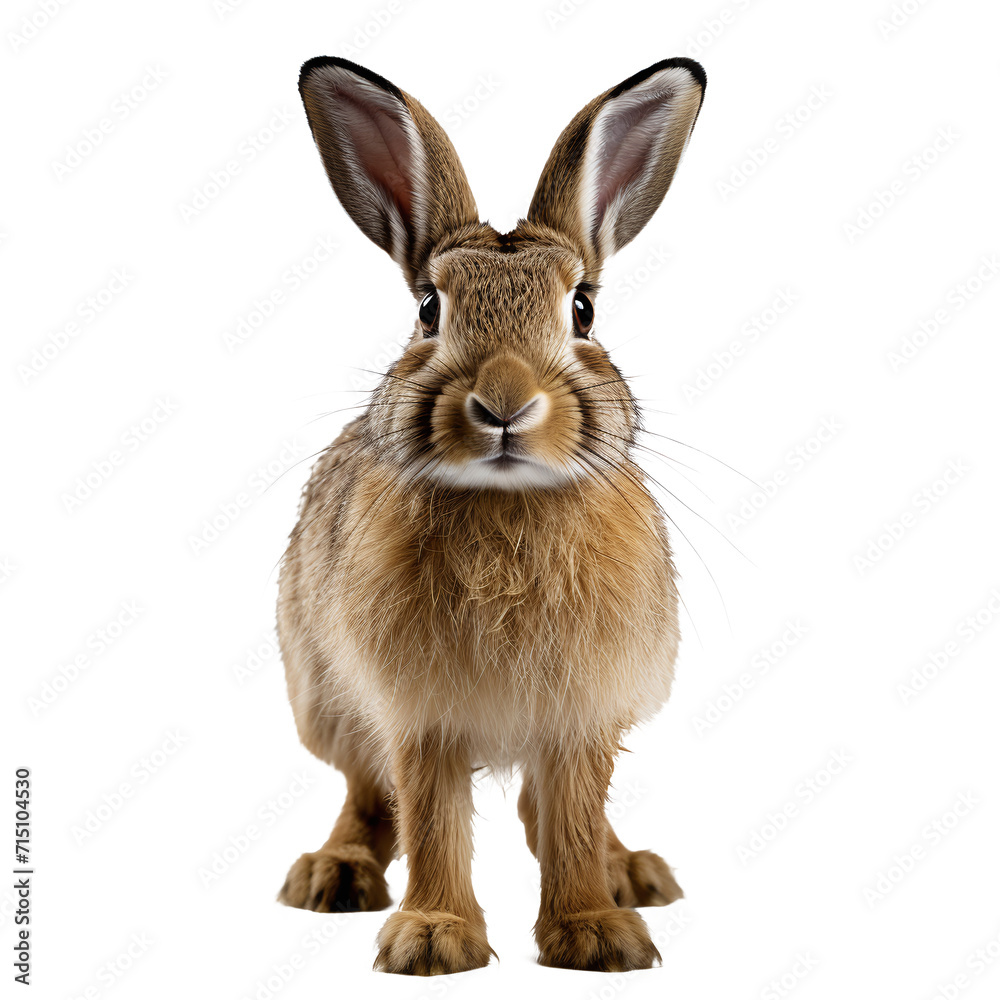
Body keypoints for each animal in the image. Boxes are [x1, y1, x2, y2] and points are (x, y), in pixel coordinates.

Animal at [276, 54, 706, 975]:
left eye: (582, 309)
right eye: (428, 311)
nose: (504, 401)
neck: (507, 506)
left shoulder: (583, 716)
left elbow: (572, 816)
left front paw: (596, 933)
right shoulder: (421, 716)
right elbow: (433, 818)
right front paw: (433, 939)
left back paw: (632, 874)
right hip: (324, 697)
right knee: (368, 797)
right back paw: (333, 874)